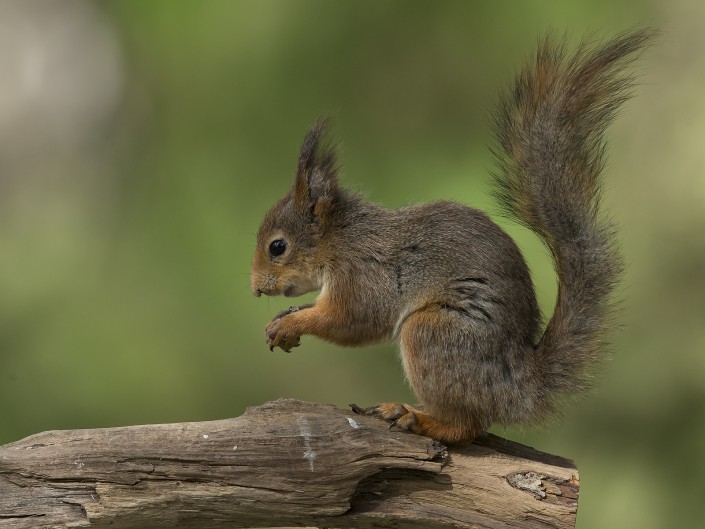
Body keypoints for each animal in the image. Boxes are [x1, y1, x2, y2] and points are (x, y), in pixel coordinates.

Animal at [250, 28, 652, 442]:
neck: (340, 240)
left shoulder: (362, 275)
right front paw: (287, 317)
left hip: (434, 333)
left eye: (277, 247)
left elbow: (352, 320)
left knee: (468, 424)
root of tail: (517, 385)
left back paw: (416, 417)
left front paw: (292, 322)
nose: (256, 288)